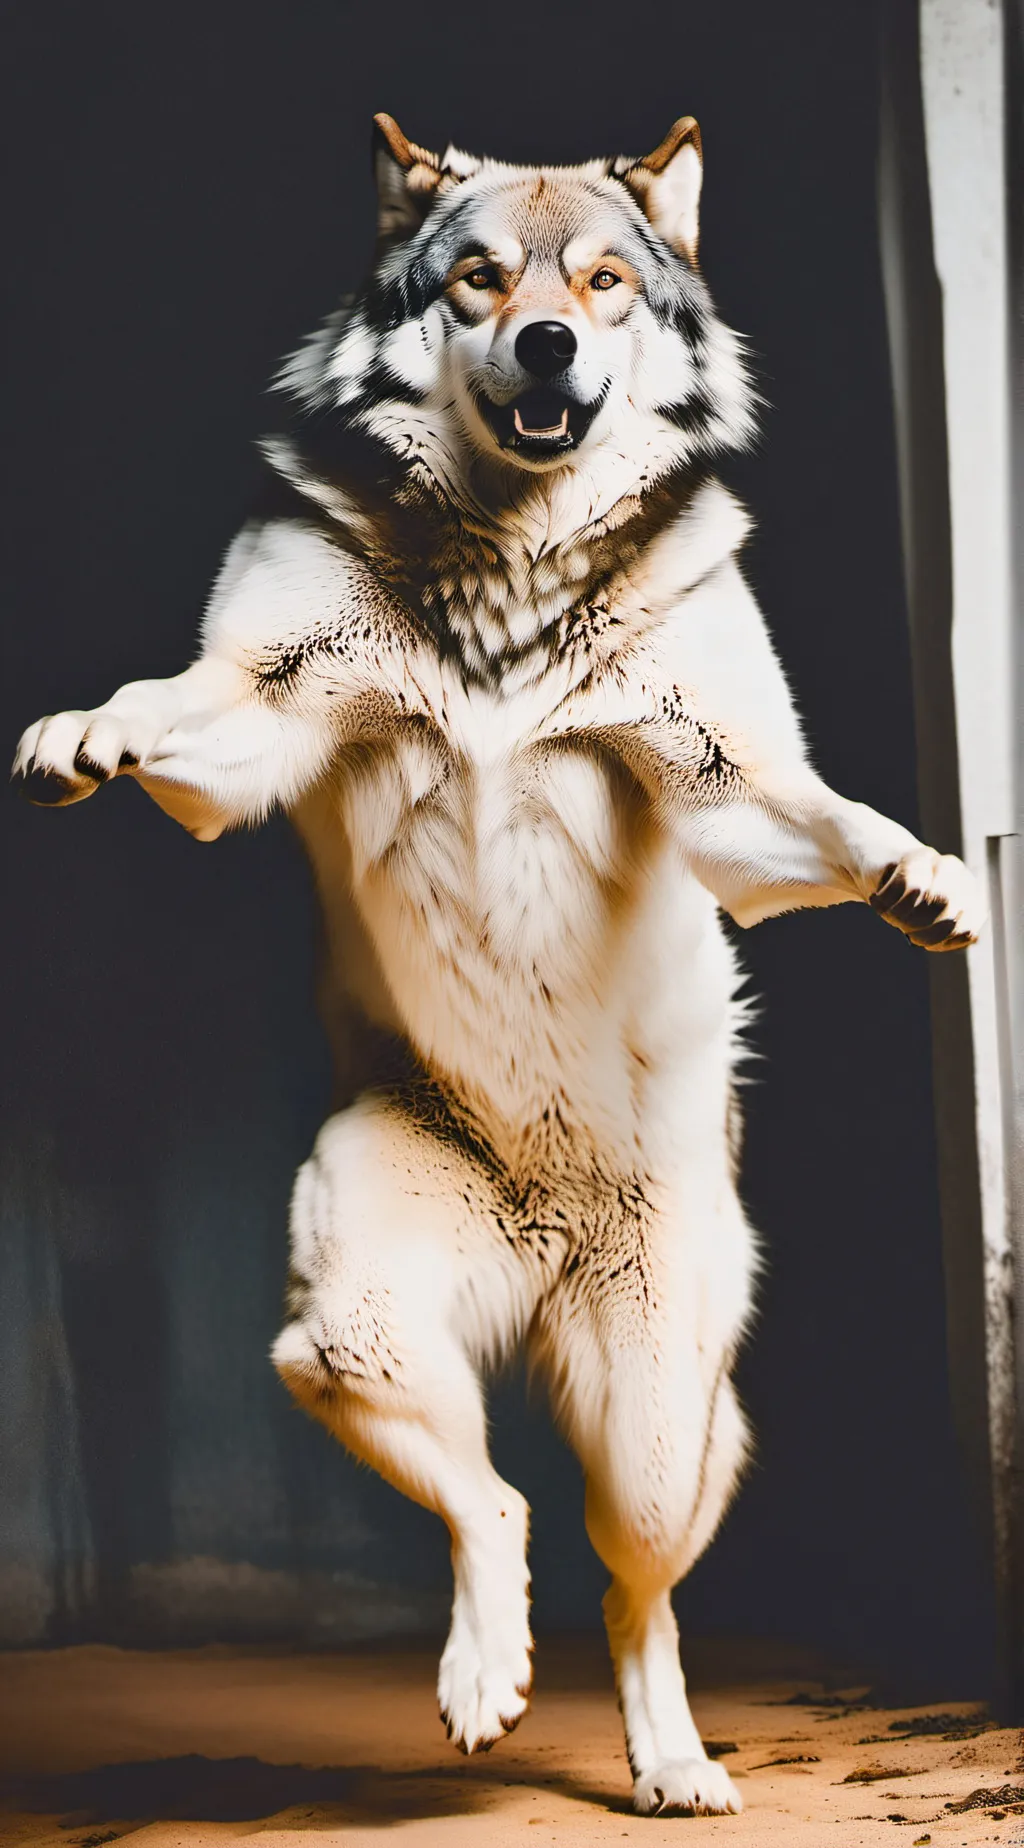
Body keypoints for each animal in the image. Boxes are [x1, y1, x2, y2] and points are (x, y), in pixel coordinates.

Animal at [13, 112, 983, 1816]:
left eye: (600, 284)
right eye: (478, 278)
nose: (546, 344)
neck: (510, 576)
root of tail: (544, 1250)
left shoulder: (727, 784)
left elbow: (823, 815)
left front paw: (919, 875)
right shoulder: (255, 714)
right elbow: (162, 710)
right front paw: (86, 733)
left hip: (657, 1429)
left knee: (637, 1587)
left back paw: (671, 1760)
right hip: (350, 1326)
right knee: (503, 1509)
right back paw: (484, 1673)